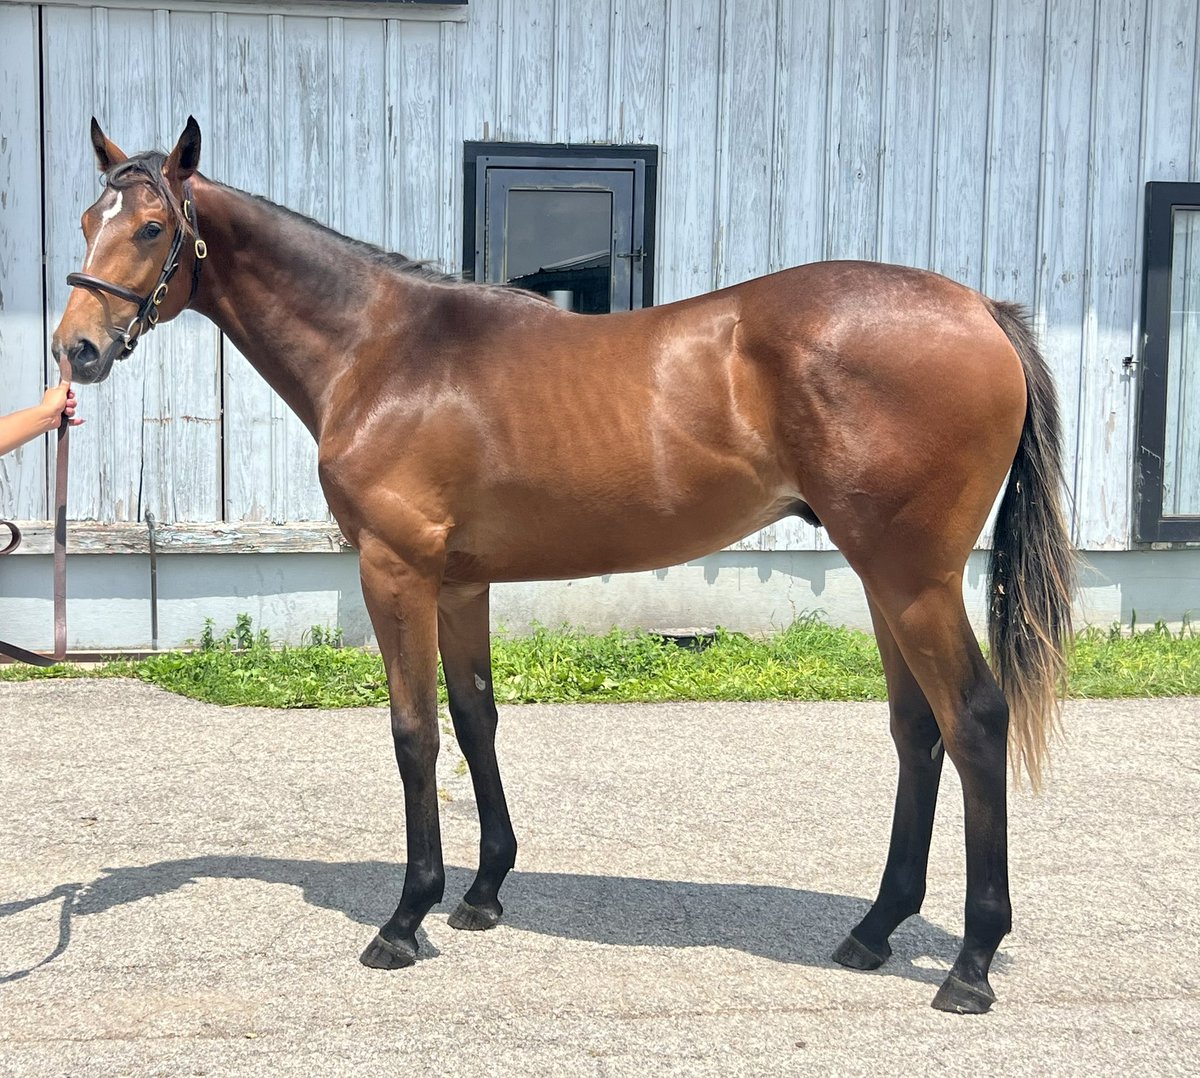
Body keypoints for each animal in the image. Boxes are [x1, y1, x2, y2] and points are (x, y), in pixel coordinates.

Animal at [51, 117, 1075, 1008]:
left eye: (151, 228)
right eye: (86, 222)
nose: (77, 350)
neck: (383, 351)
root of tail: (979, 309)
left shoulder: (395, 571)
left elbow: (414, 733)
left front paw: (405, 917)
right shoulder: (460, 582)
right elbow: (476, 719)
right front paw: (481, 894)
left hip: (912, 579)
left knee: (975, 720)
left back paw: (971, 966)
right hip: (885, 580)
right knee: (918, 731)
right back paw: (872, 931)